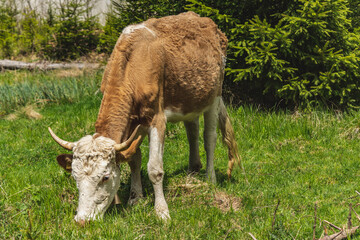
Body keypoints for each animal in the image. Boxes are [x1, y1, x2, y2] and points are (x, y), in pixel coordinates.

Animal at [48, 12, 239, 223]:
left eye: (105, 177)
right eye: (75, 177)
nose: (82, 221)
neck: (133, 67)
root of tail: (202, 18)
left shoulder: (157, 119)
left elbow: (154, 169)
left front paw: (162, 211)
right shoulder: (132, 124)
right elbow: (133, 159)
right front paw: (135, 198)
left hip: (215, 96)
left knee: (209, 138)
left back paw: (209, 178)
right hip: (190, 97)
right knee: (193, 131)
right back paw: (193, 170)